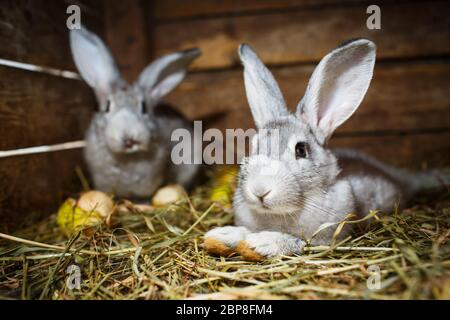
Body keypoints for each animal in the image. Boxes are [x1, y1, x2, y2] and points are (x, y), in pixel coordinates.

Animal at [206, 39, 448, 260]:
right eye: (254, 146)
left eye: (301, 150)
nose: (260, 191)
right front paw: (220, 236)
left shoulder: (323, 238)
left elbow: (298, 242)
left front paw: (261, 243)